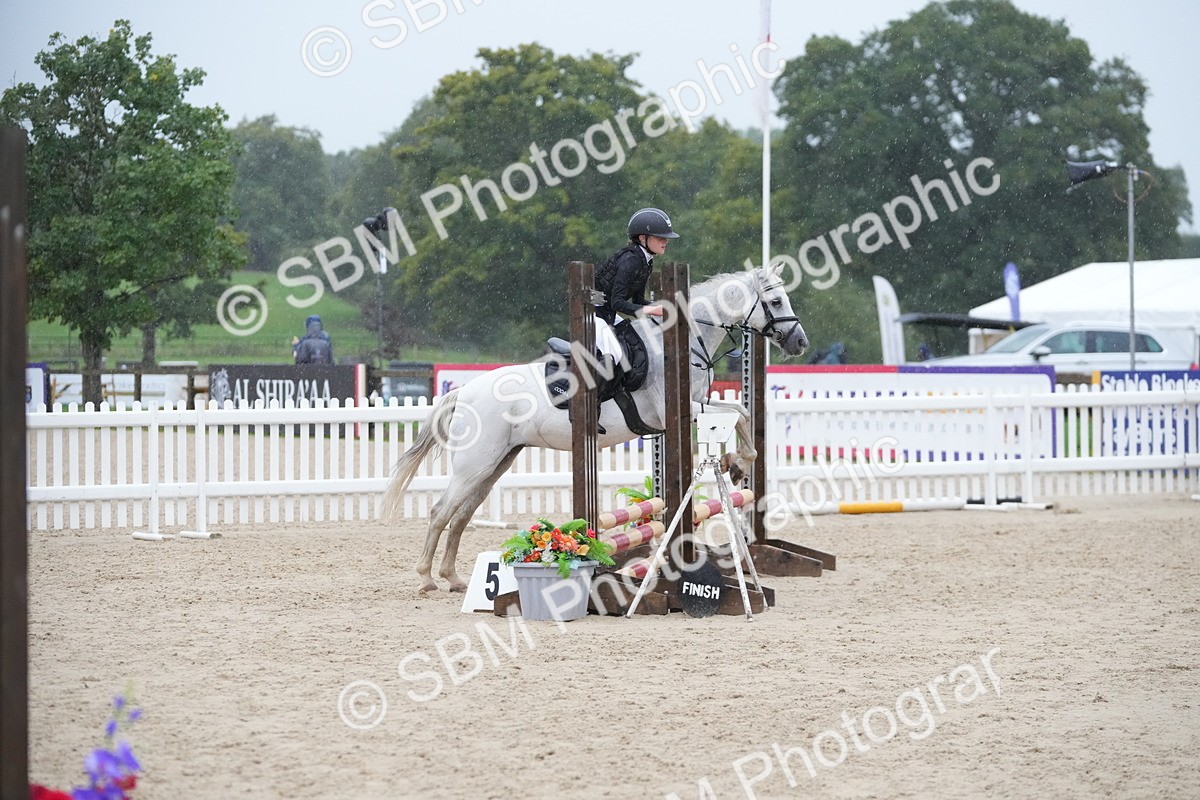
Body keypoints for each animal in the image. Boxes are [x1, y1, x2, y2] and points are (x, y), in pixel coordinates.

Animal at [382, 263, 808, 592]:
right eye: (775, 302)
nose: (800, 342)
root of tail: (465, 391)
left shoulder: (694, 408)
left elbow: (740, 410)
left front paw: (737, 464)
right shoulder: (675, 410)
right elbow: (739, 411)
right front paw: (739, 463)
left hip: (496, 463)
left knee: (461, 515)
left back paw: (453, 578)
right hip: (475, 463)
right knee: (441, 511)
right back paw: (426, 579)